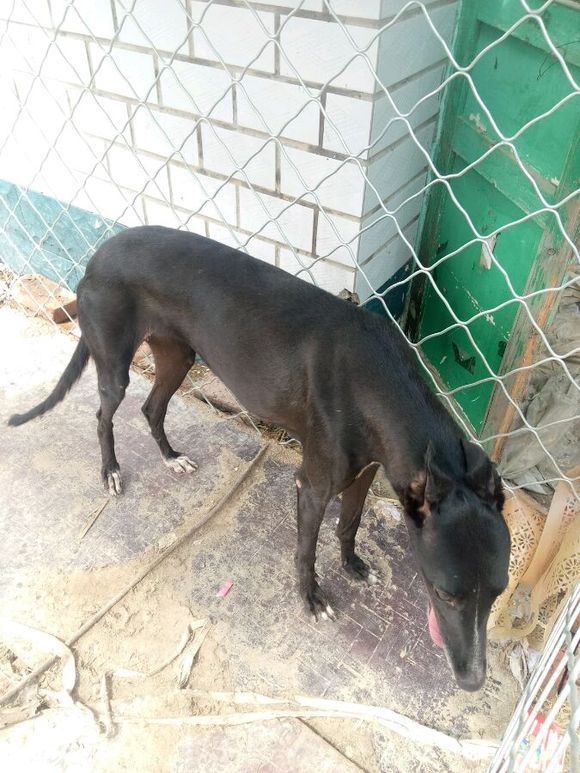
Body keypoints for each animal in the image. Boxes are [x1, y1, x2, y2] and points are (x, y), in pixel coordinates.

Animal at [9, 226, 510, 691]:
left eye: (498, 592)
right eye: (445, 593)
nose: (472, 681)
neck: (379, 377)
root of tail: (99, 255)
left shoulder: (370, 470)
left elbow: (349, 524)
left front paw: (353, 566)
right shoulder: (313, 486)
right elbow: (305, 550)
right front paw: (311, 600)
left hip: (178, 354)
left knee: (152, 408)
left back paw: (171, 458)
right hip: (114, 361)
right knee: (103, 413)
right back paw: (110, 472)